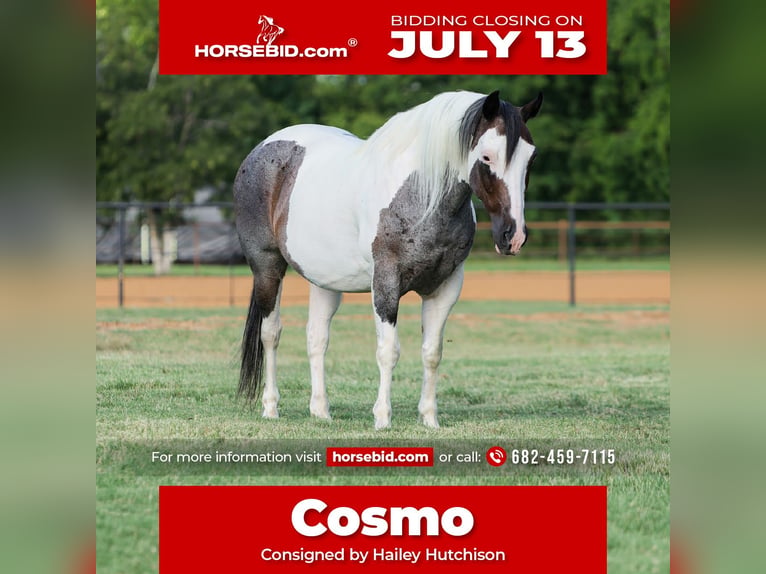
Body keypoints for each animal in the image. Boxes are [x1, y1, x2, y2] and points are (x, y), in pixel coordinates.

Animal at [233, 89, 542, 429]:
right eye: (487, 157)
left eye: (531, 158)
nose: (514, 236)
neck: (421, 196)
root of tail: (263, 148)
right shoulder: (386, 283)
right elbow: (388, 351)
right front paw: (382, 418)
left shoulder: (445, 288)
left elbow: (432, 352)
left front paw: (429, 419)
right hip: (268, 268)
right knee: (271, 334)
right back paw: (271, 407)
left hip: (325, 281)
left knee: (316, 337)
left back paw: (321, 411)